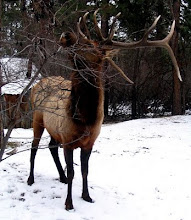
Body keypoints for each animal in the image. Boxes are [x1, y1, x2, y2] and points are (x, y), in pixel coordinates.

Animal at [26, 9, 181, 211]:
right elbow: (73, 172)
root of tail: (37, 84)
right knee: (34, 147)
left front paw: (86, 196)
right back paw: (30, 179)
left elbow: (85, 170)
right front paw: (69, 203)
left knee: (51, 146)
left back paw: (60, 177)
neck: (85, 119)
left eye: (91, 47)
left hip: (53, 129)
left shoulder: (89, 142)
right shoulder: (68, 140)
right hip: (36, 118)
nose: (66, 34)